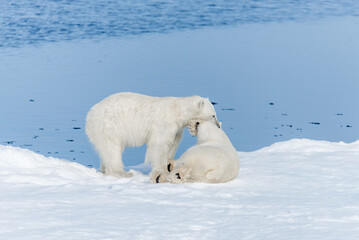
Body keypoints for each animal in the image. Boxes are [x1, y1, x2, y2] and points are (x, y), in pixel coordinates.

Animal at [85, 92, 219, 182]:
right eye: (213, 115)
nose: (218, 126)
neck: (178, 111)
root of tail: (90, 114)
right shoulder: (164, 123)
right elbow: (159, 145)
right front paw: (162, 170)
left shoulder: (176, 129)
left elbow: (172, 145)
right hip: (109, 125)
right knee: (112, 148)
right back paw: (121, 172)